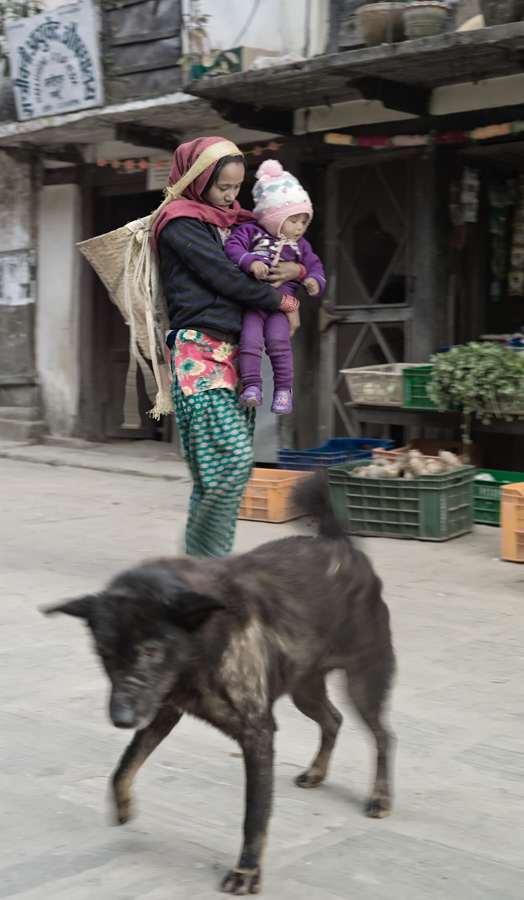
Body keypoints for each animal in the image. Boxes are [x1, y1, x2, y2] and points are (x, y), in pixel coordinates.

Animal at [45, 476, 395, 895]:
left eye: (150, 651)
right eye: (104, 653)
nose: (121, 719)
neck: (200, 650)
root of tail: (337, 542)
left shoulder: (257, 734)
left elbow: (254, 815)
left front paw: (247, 871)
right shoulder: (163, 711)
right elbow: (122, 767)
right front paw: (123, 806)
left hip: (363, 679)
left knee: (383, 734)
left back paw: (380, 796)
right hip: (304, 688)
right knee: (333, 720)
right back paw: (316, 772)